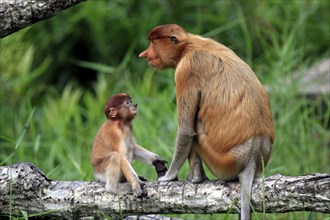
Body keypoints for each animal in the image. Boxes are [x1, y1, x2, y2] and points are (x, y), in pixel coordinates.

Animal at [138, 24, 274, 218]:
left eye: (153, 43)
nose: (144, 54)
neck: (188, 46)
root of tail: (252, 157)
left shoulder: (185, 71)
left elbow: (186, 130)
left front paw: (168, 177)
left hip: (222, 161)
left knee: (196, 129)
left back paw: (196, 178)